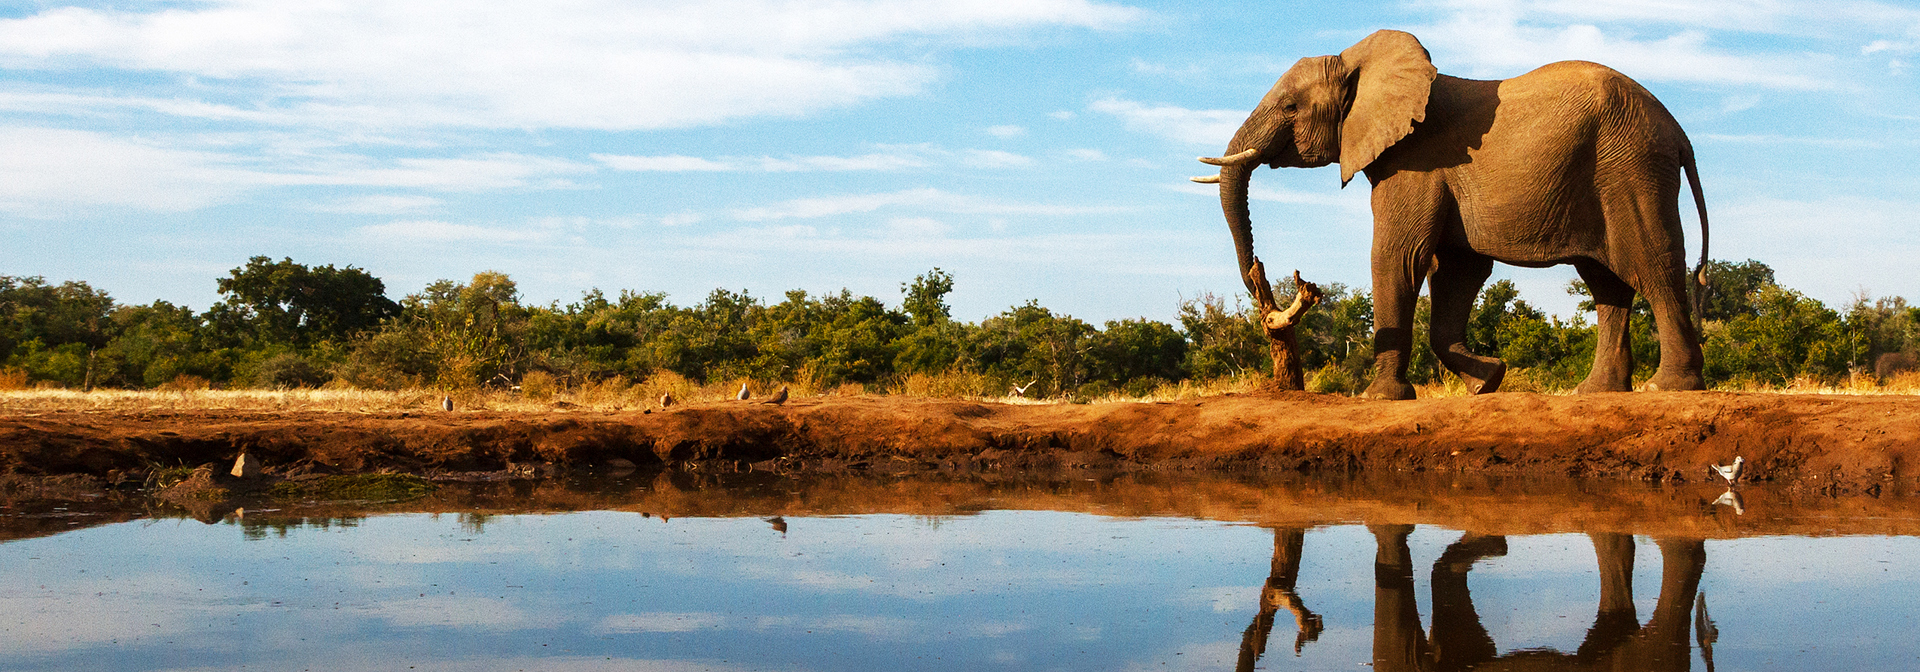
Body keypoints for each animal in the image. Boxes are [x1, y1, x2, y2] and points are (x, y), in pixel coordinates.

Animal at [1198, 30, 1712, 399]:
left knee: (1651, 264)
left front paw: (1379, 398)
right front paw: (1488, 381)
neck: (1357, 61)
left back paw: (1666, 388)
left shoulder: (1415, 161)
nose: (1258, 276)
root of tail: (1678, 132)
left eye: (1290, 107)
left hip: (1630, 168)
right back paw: (1596, 393)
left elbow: (1399, 256)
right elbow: (1456, 270)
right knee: (1607, 283)